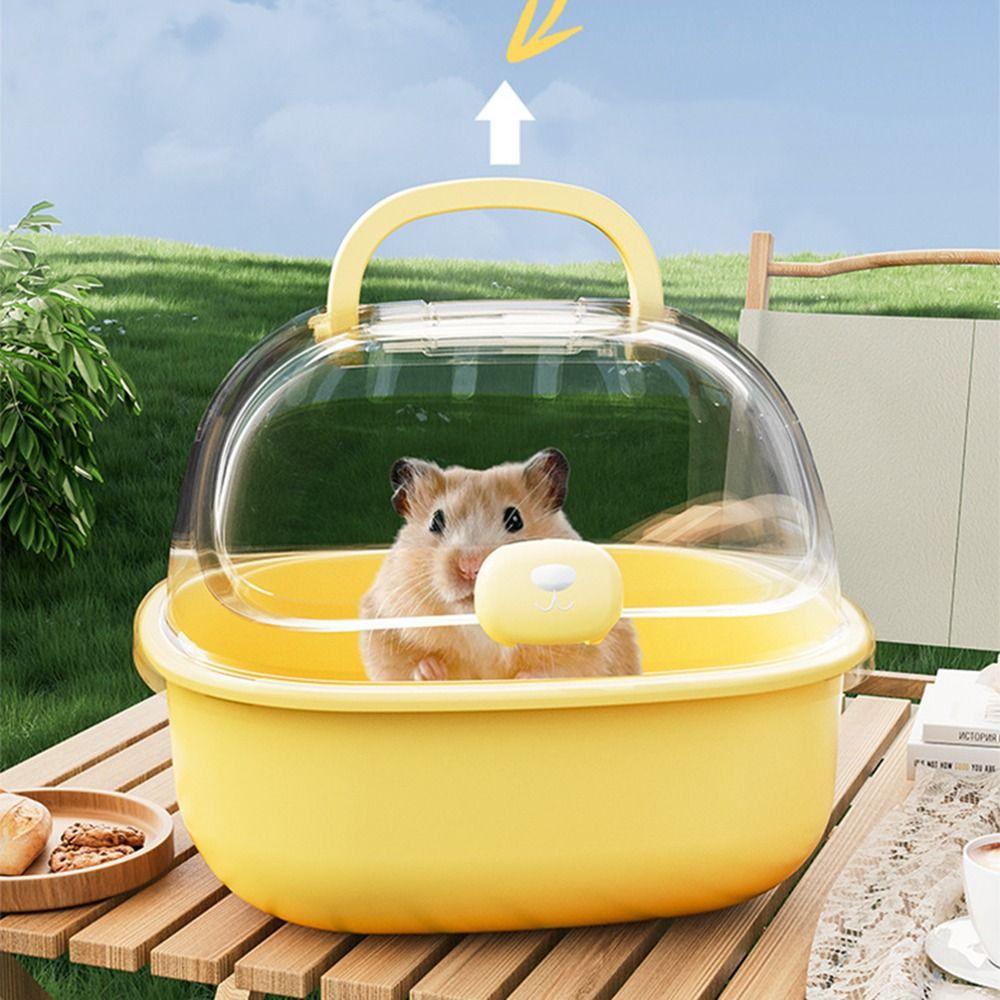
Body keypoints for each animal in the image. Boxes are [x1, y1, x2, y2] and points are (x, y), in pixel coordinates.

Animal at [360, 448, 641, 681]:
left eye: (515, 519)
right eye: (435, 521)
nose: (470, 567)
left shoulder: (594, 648)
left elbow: (567, 669)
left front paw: (524, 679)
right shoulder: (384, 623)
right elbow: (406, 665)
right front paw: (430, 671)